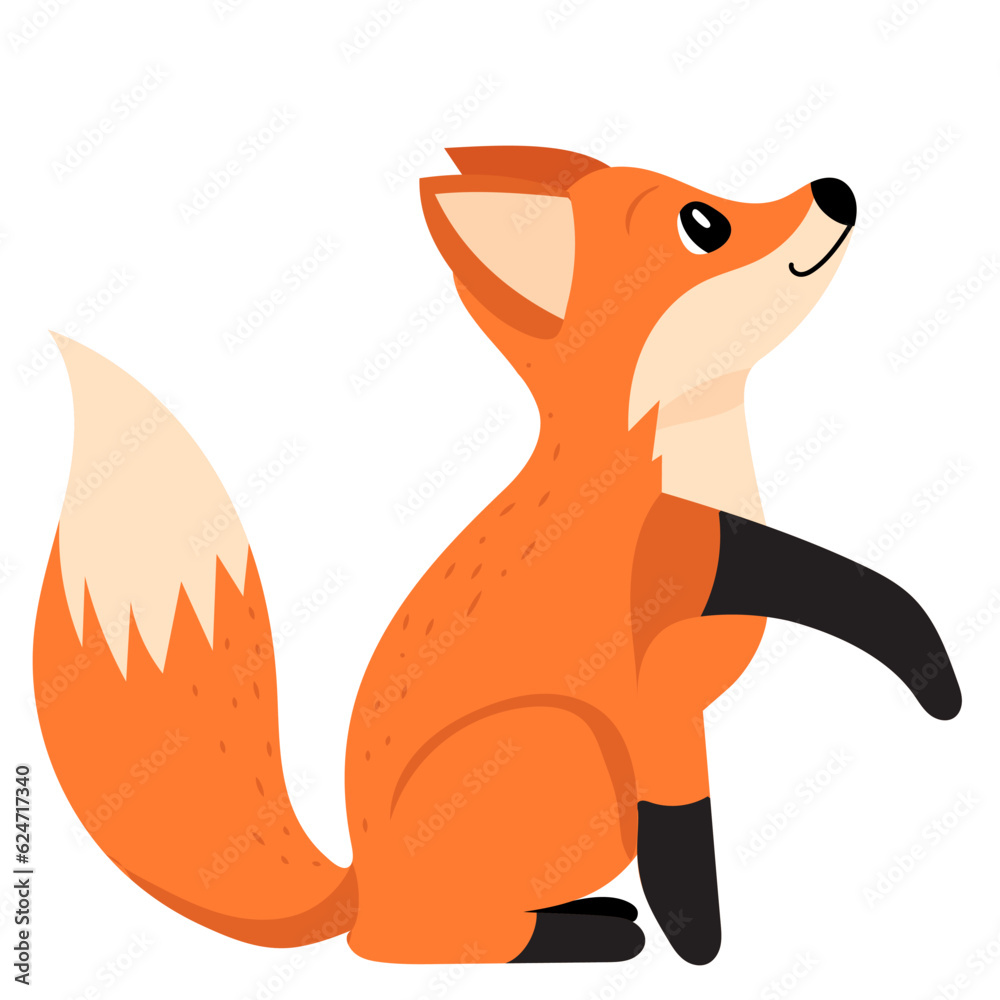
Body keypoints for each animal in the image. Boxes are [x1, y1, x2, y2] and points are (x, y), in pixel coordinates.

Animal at [34, 145, 962, 967]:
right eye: (704, 223)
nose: (835, 190)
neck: (674, 450)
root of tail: (359, 882)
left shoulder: (722, 562)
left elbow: (860, 586)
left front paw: (937, 682)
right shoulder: (665, 638)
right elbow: (688, 816)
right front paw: (699, 942)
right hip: (562, 740)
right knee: (409, 945)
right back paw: (581, 938)